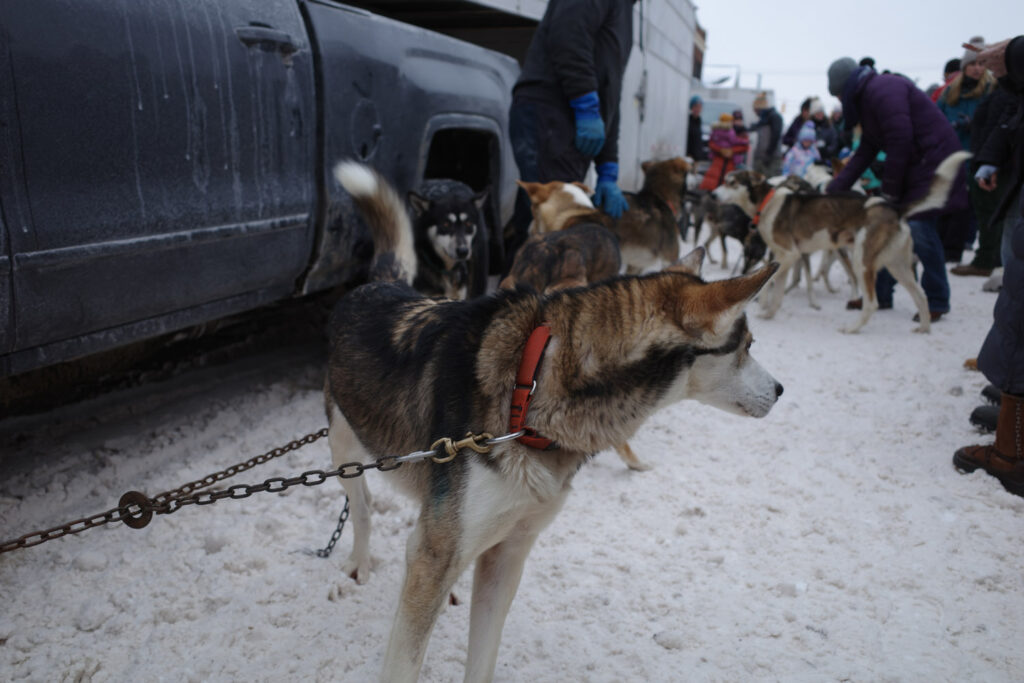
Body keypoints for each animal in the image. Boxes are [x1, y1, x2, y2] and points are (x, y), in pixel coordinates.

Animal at [327, 161, 782, 683]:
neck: (530, 392)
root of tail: (379, 284)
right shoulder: (435, 555)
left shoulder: (507, 554)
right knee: (362, 509)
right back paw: (359, 563)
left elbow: (482, 657)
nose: (781, 390)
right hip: (345, 453)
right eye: (748, 346)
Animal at [712, 150, 966, 333]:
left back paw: (852, 328)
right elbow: (778, 291)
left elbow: (773, 286)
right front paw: (769, 314)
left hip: (862, 261)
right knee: (921, 295)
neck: (767, 202)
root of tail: (894, 208)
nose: (712, 195)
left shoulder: (791, 254)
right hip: (898, 266)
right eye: (725, 180)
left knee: (871, 303)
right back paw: (924, 327)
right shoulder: (784, 257)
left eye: (731, 182)